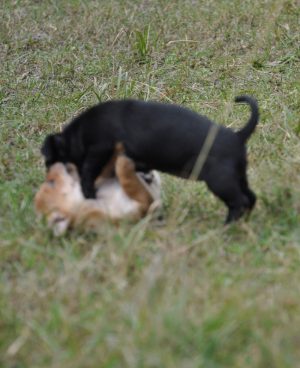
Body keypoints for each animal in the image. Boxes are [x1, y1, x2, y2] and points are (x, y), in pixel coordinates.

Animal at [41, 95, 258, 221]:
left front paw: (89, 194)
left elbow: (87, 173)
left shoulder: (99, 150)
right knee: (250, 197)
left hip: (220, 182)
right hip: (238, 177)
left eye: (50, 162)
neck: (78, 135)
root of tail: (238, 136)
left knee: (238, 201)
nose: (49, 176)